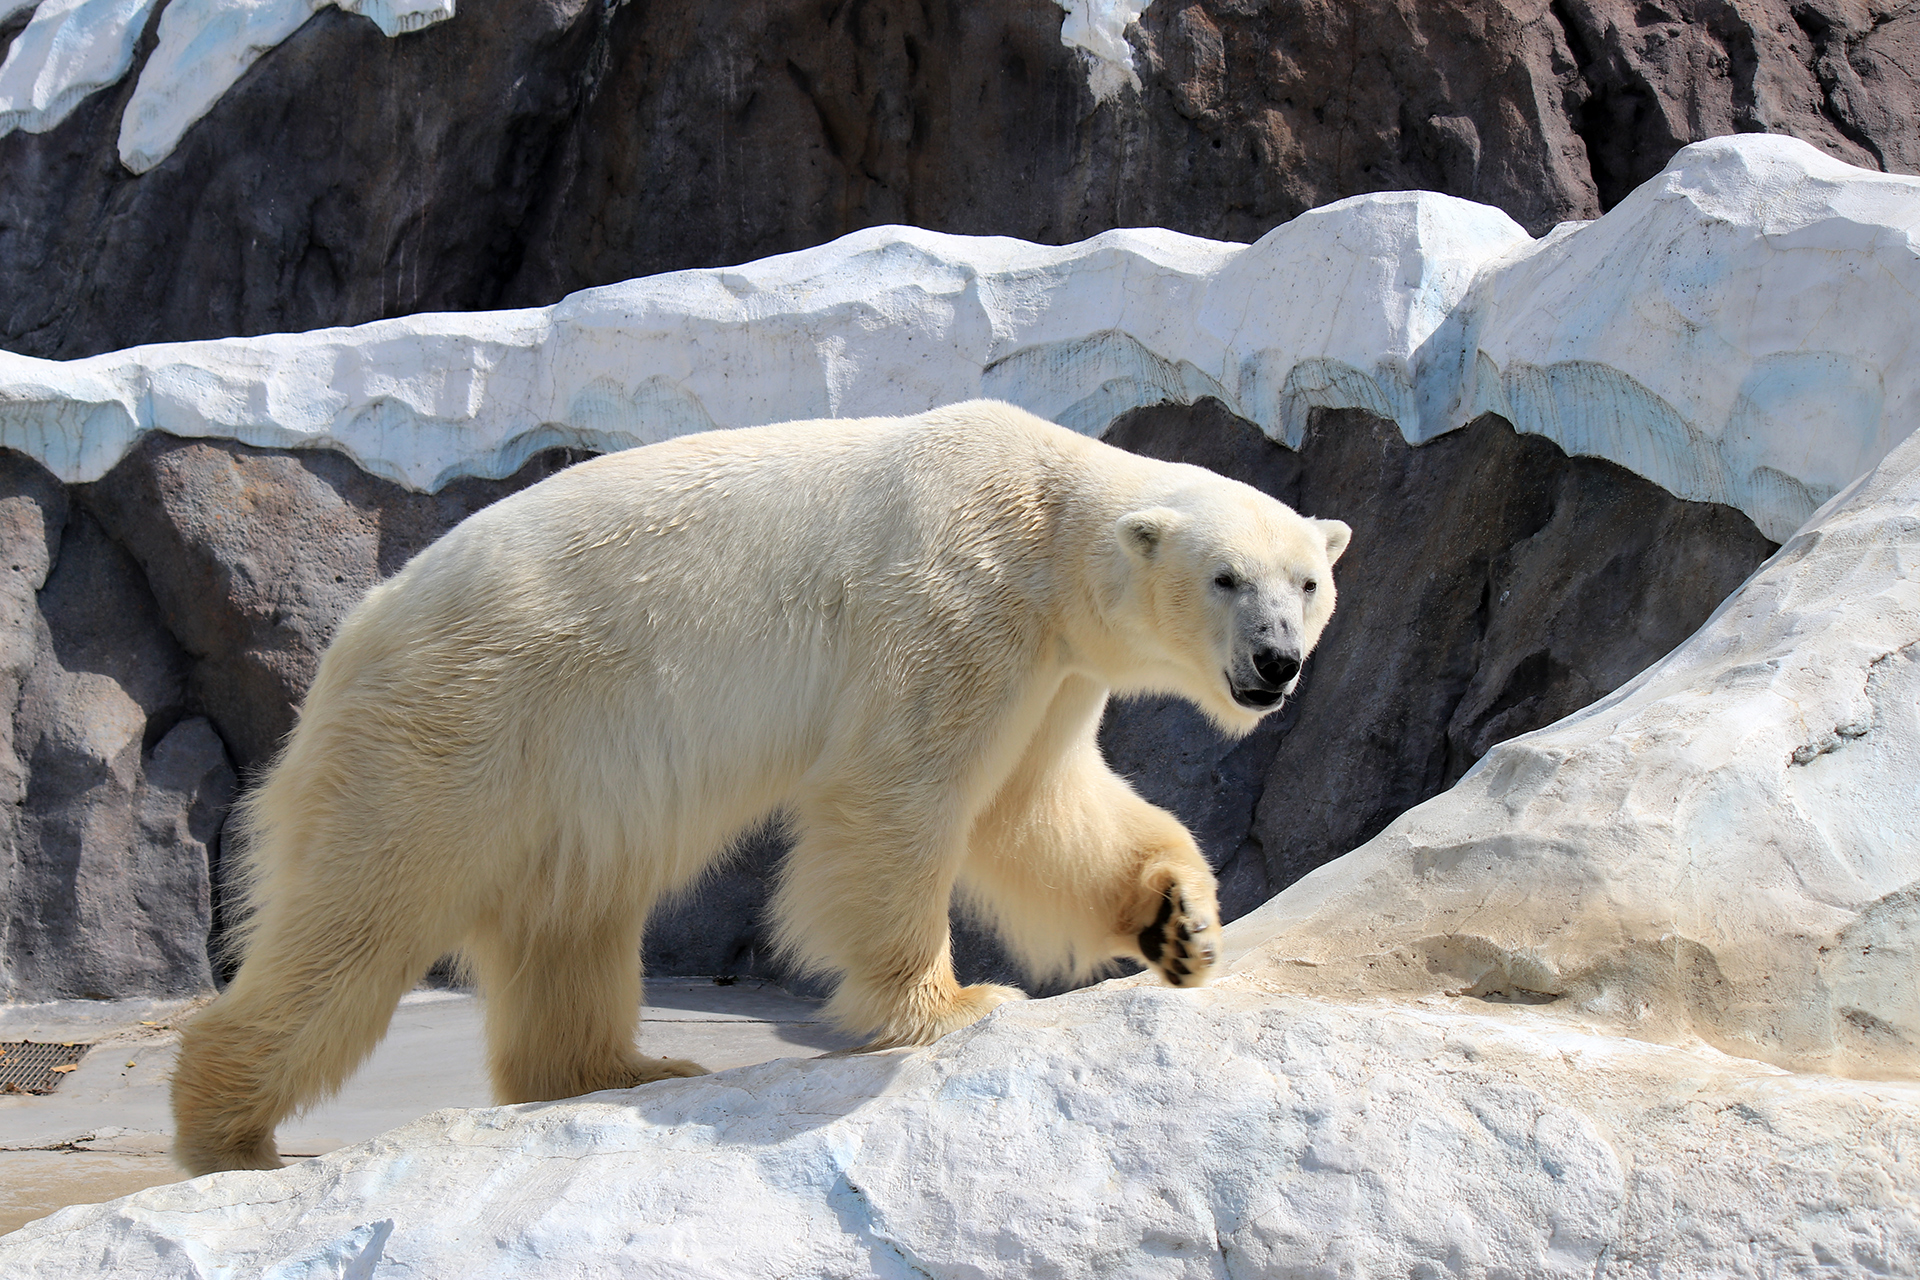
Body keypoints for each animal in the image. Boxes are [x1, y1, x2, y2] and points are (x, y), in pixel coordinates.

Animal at [176, 401, 1351, 1174]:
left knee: (569, 916)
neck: (1044, 515)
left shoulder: (1053, 668)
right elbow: (897, 795)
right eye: (1226, 577)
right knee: (361, 914)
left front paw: (1179, 923)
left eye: (1308, 579)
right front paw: (955, 1001)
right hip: (459, 725)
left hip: (560, 771)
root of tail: (356, 635)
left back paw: (625, 1067)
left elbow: (1035, 809)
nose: (1277, 662)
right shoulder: (957, 603)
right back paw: (228, 1128)